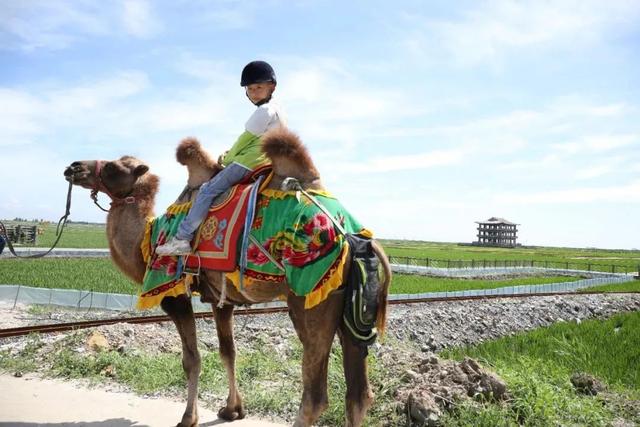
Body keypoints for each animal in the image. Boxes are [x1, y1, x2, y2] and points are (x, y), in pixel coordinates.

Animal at [66, 129, 396, 427]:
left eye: (113, 167)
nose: (73, 167)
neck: (145, 242)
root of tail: (352, 235)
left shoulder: (173, 291)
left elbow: (192, 359)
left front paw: (188, 418)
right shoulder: (220, 298)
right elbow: (229, 352)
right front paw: (233, 410)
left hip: (310, 298)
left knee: (316, 396)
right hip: (346, 305)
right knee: (358, 395)